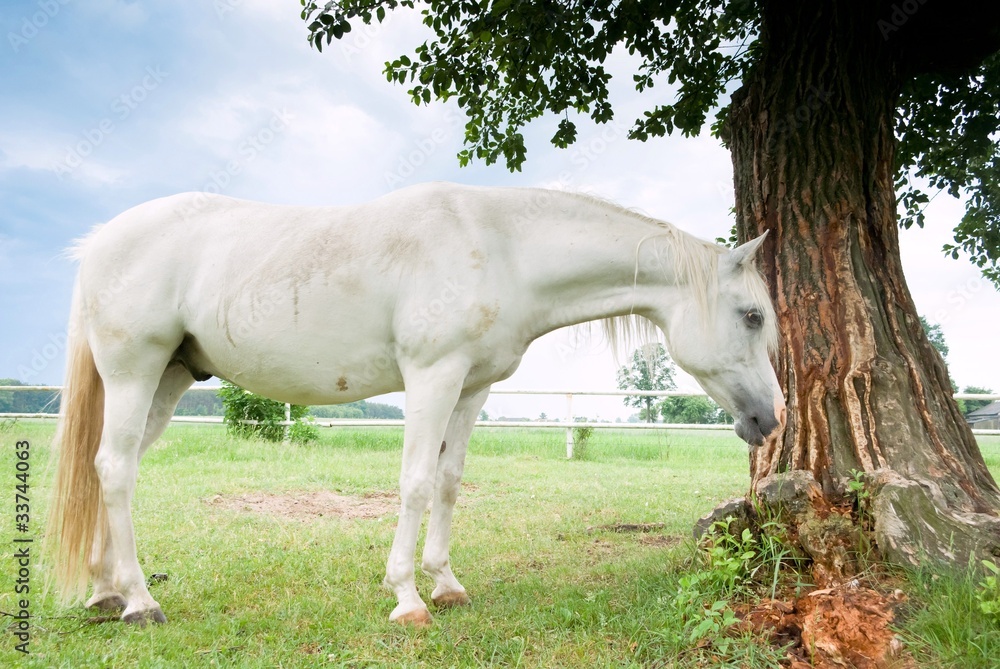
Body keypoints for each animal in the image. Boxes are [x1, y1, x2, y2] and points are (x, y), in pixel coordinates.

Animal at [46, 182, 786, 626]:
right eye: (751, 316)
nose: (771, 420)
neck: (499, 246)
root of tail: (100, 240)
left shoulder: (471, 385)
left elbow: (450, 482)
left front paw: (446, 583)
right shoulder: (431, 376)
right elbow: (415, 482)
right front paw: (406, 597)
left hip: (168, 379)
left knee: (107, 468)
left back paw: (106, 590)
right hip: (135, 369)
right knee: (115, 469)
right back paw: (140, 601)